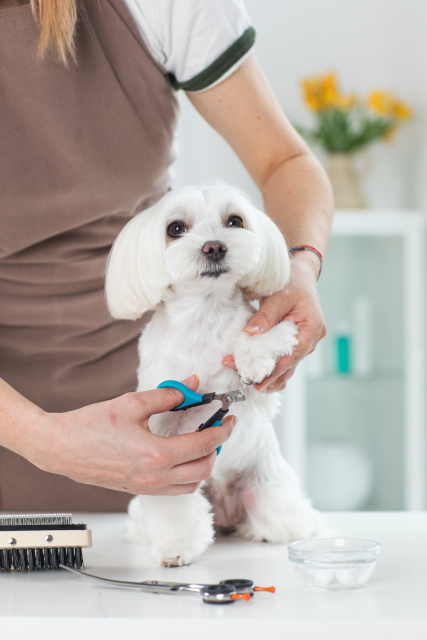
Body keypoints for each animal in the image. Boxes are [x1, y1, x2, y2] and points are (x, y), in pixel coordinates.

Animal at [106, 181, 322, 567]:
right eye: (176, 228)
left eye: (234, 221)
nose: (215, 246)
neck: (203, 318)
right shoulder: (164, 446)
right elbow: (172, 504)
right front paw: (177, 548)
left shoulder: (265, 372)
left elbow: (266, 333)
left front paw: (252, 360)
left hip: (265, 492)